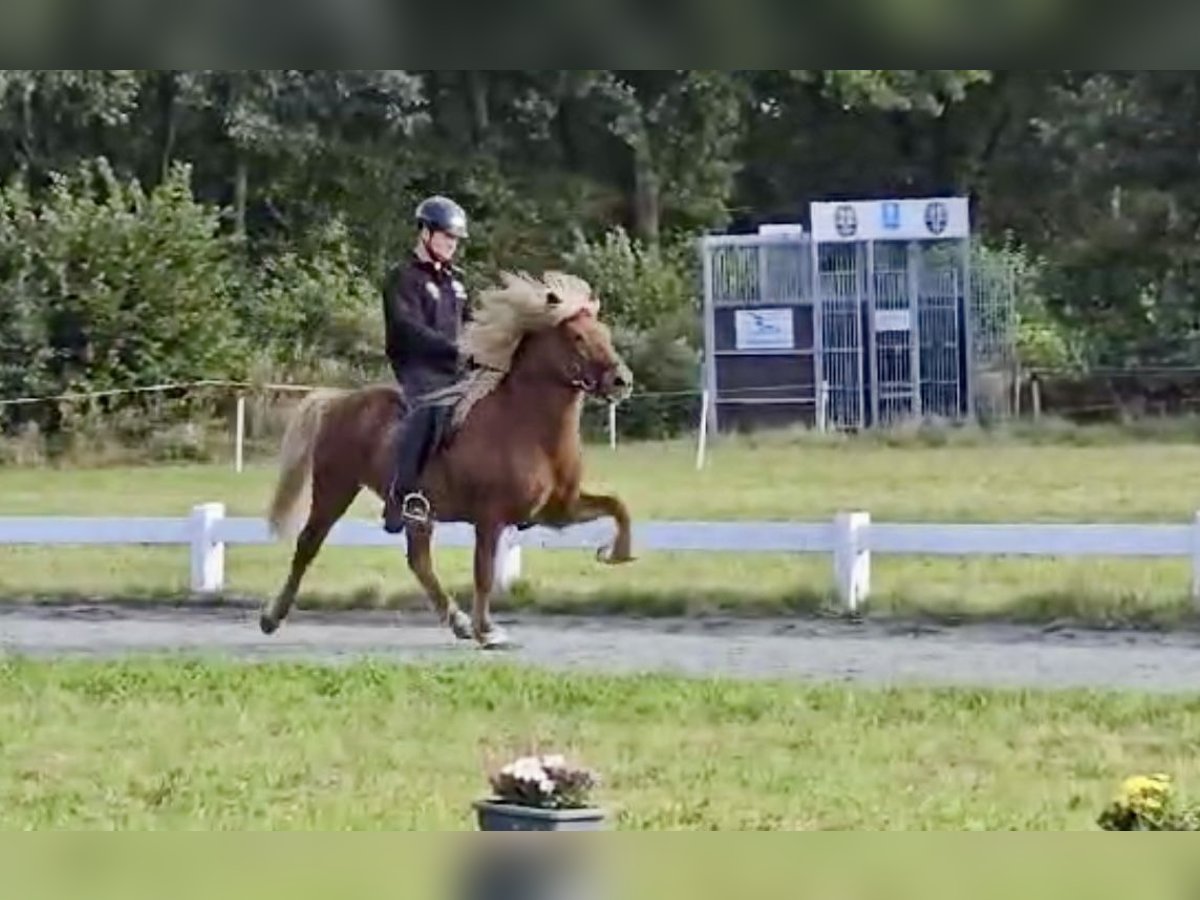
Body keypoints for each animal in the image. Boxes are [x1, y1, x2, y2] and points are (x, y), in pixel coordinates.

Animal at [259, 271, 638, 652]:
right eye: (577, 337)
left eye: (604, 332)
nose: (622, 381)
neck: (525, 426)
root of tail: (339, 401)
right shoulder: (491, 518)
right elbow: (483, 573)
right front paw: (487, 631)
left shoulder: (557, 511)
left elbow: (618, 507)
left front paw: (615, 553)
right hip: (334, 488)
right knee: (308, 545)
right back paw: (272, 617)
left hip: (416, 513)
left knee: (419, 561)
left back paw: (458, 622)